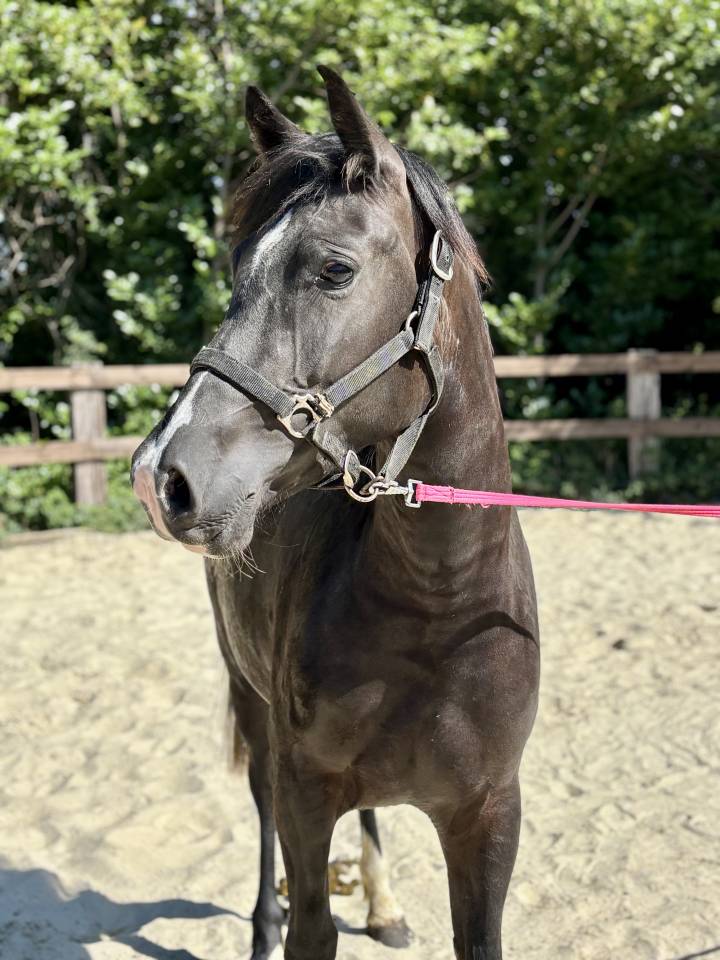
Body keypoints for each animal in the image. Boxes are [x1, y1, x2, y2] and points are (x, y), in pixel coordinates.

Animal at [131, 65, 540, 960]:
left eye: (335, 270)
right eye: (238, 269)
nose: (159, 477)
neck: (438, 606)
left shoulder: (490, 816)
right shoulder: (304, 791)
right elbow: (310, 921)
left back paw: (383, 902)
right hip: (251, 706)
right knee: (258, 808)